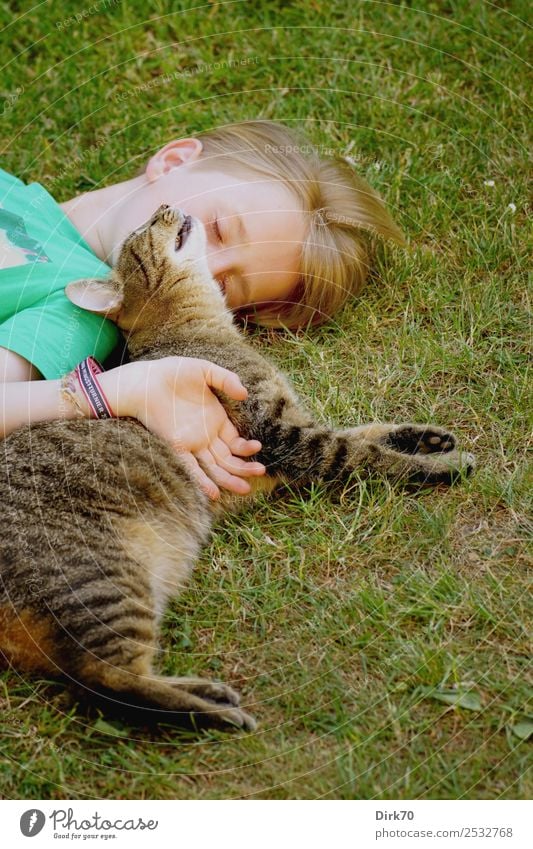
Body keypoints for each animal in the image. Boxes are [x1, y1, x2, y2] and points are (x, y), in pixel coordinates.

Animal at [0, 204, 474, 728]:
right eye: (143, 231)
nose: (163, 206)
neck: (203, 327)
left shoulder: (298, 426)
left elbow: (367, 432)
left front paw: (429, 439)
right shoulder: (280, 435)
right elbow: (364, 455)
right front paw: (442, 466)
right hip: (101, 581)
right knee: (105, 682)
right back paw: (215, 710)